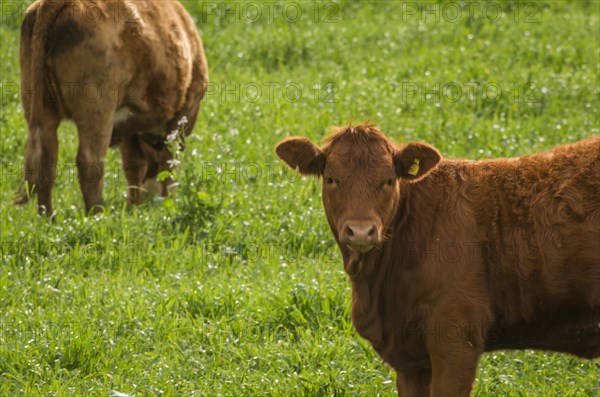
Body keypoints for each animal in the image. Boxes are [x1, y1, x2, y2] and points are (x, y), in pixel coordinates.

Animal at [17, 0, 209, 213]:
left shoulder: (131, 128)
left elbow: (133, 165)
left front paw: (134, 208)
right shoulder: (185, 113)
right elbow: (168, 162)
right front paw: (166, 206)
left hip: (39, 106)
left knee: (45, 160)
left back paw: (48, 217)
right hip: (97, 109)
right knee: (89, 162)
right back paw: (97, 215)